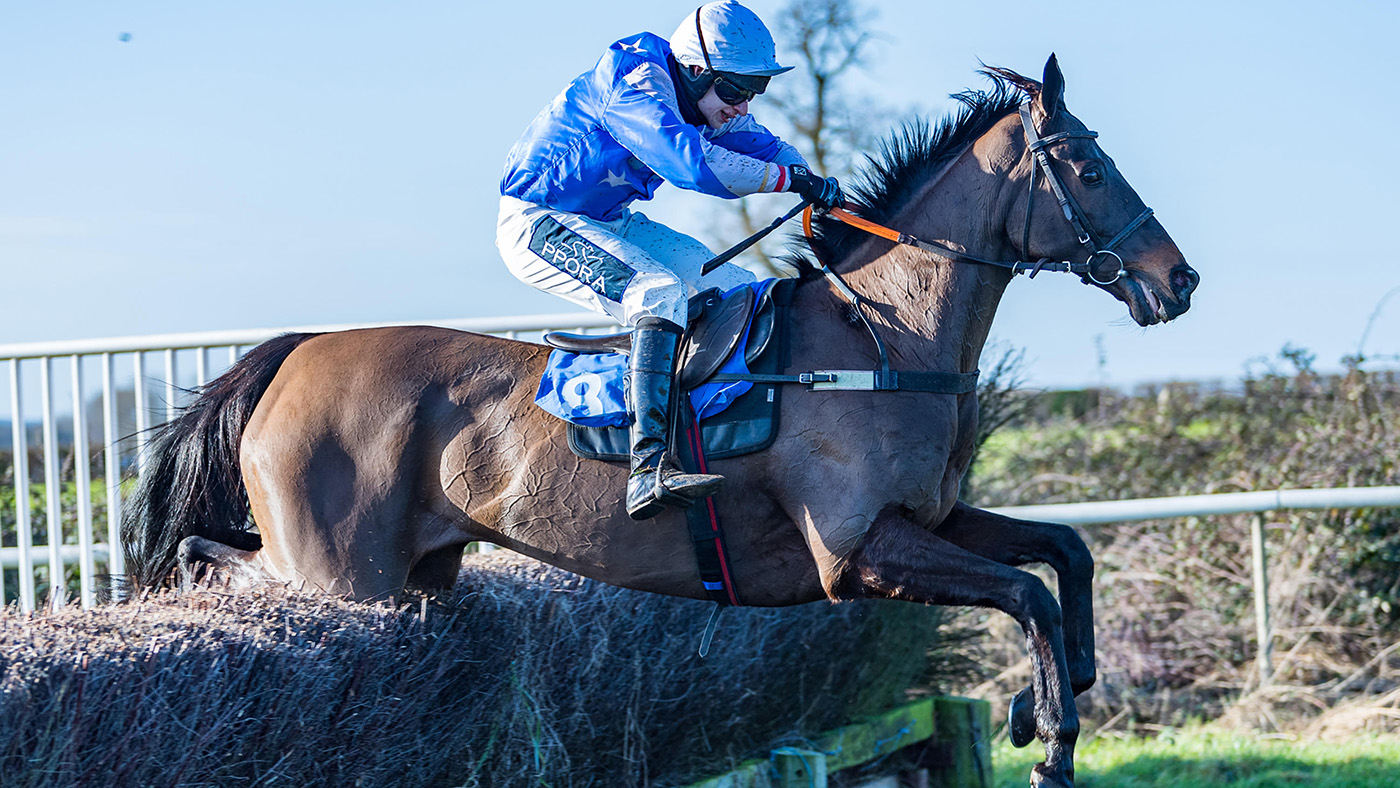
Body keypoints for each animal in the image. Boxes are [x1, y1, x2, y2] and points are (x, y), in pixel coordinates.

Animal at [122, 56, 1197, 788]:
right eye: (1089, 168)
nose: (1176, 281)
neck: (879, 336)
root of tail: (297, 351)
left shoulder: (925, 520)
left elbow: (1064, 556)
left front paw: (1045, 702)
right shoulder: (858, 553)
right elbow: (1030, 595)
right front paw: (1047, 740)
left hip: (414, 578)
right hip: (339, 571)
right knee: (232, 572)